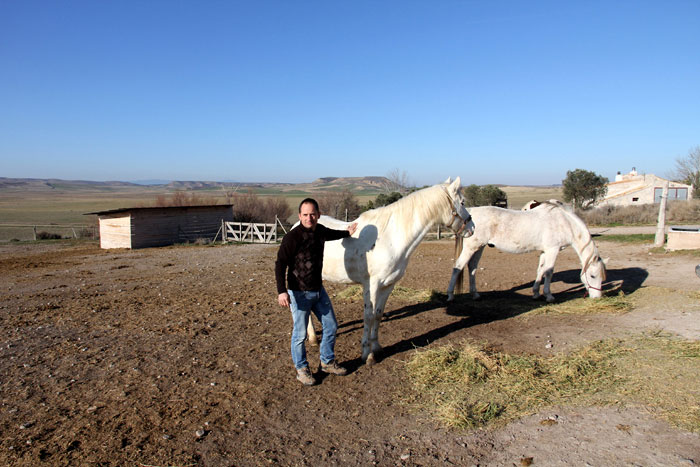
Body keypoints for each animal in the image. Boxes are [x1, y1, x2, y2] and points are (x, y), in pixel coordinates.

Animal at [298, 179, 474, 366]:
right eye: (462, 202)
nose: (472, 228)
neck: (390, 239)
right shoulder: (372, 285)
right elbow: (368, 316)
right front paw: (367, 355)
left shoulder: (388, 285)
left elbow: (378, 314)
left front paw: (376, 348)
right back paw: (313, 338)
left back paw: (313, 338)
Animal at [448, 201, 608, 304]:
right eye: (592, 276)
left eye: (602, 277)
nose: (597, 297)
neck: (564, 222)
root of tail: (470, 214)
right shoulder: (552, 250)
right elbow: (549, 272)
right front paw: (549, 296)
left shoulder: (544, 251)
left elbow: (540, 270)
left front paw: (536, 293)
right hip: (471, 248)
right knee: (458, 266)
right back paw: (450, 296)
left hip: (480, 247)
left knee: (472, 267)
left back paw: (475, 295)